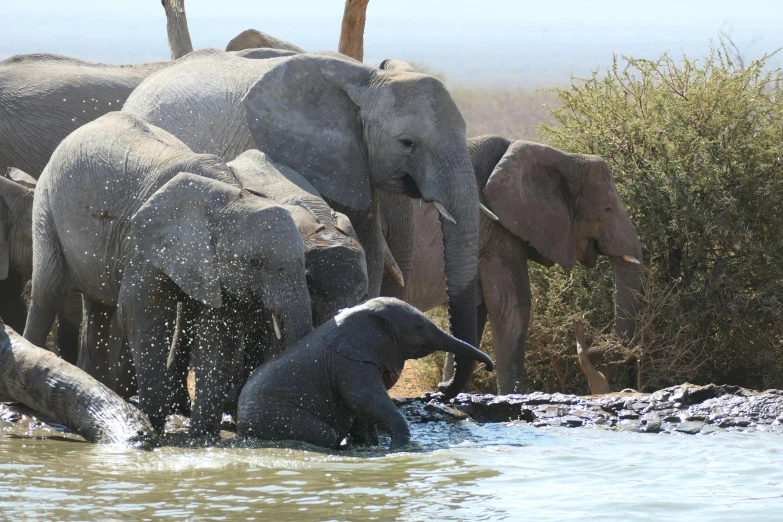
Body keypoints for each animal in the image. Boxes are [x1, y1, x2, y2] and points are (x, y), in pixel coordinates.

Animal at [25, 112, 312, 434]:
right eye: (254, 262)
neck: (230, 195)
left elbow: (216, 334)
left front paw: (202, 437)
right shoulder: (143, 241)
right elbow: (142, 315)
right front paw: (152, 428)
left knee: (99, 305)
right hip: (46, 204)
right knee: (48, 291)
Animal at [239, 296, 496, 446]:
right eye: (419, 327)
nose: (489, 366)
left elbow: (364, 406)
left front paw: (373, 447)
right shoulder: (351, 363)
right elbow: (363, 398)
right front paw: (400, 447)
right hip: (275, 417)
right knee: (325, 434)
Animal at [380, 136, 644, 392]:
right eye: (607, 209)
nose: (580, 326)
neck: (562, 157)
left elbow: (475, 312)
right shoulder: (497, 228)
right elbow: (512, 304)